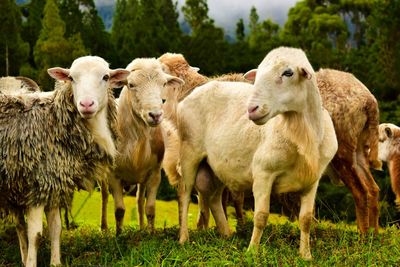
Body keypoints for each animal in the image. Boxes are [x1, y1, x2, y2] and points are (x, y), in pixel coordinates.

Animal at [0, 55, 129, 266]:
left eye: (106, 77)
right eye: (72, 78)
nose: (86, 104)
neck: (53, 123)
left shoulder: (54, 184)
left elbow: (55, 228)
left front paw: (55, 262)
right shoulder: (38, 185)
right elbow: (36, 235)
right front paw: (32, 263)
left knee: (19, 226)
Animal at [104, 58, 183, 234]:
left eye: (163, 84)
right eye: (131, 84)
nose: (155, 115)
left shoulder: (154, 174)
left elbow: (150, 208)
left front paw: (151, 233)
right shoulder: (113, 175)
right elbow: (119, 210)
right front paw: (118, 235)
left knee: (139, 201)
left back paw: (141, 229)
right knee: (104, 197)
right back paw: (104, 228)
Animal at [177, 46, 336, 260]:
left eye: (288, 72)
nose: (251, 109)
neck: (301, 134)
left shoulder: (312, 180)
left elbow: (306, 219)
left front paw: (306, 255)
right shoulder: (263, 173)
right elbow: (261, 216)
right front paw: (252, 251)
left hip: (217, 165)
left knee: (214, 198)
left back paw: (226, 235)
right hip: (189, 152)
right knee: (185, 194)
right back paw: (183, 238)